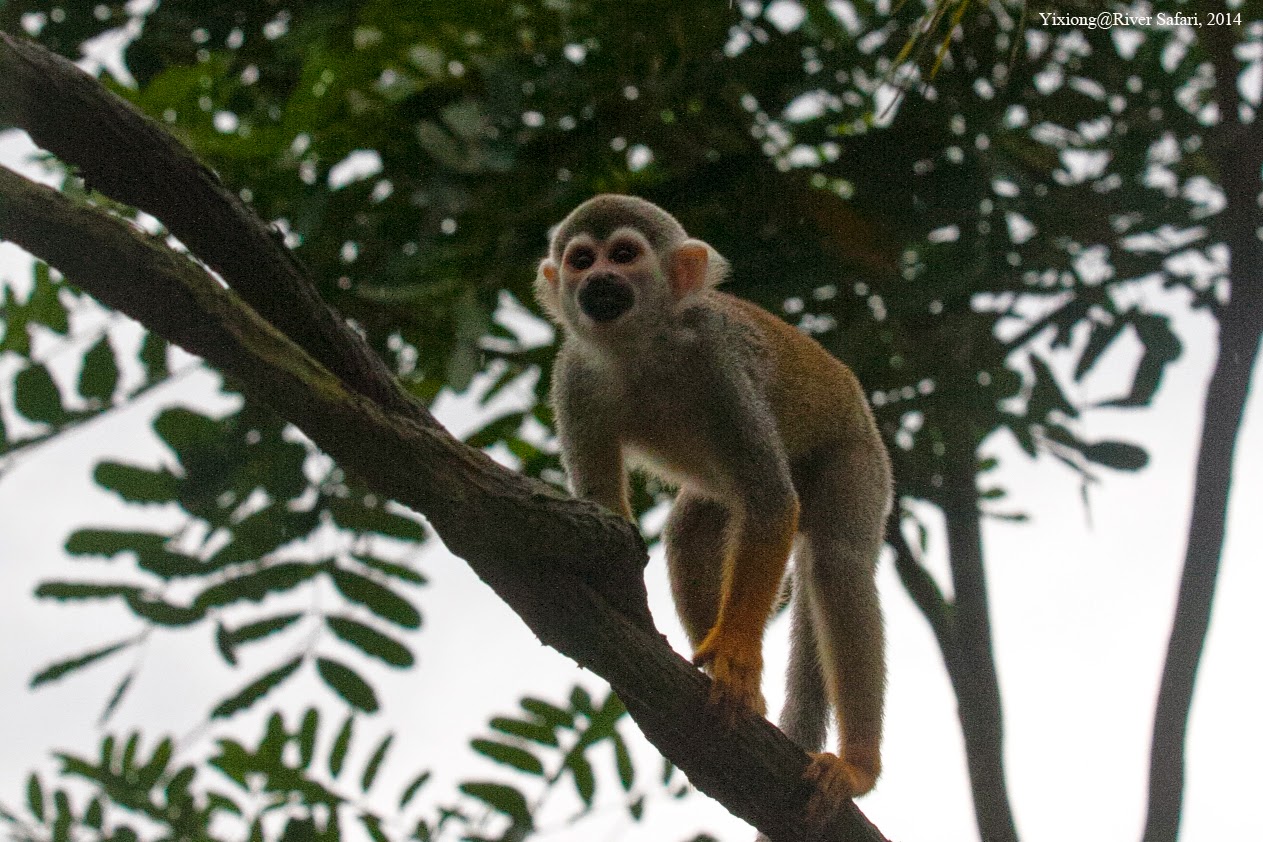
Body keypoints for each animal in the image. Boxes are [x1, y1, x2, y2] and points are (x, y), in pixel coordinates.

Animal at [535, 195, 893, 816]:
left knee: (837, 562)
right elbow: (609, 517)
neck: (640, 349)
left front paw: (734, 657)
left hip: (858, 460)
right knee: (691, 528)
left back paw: (857, 766)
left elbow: (771, 503)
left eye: (623, 255)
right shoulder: (573, 378)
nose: (599, 280)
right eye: (581, 260)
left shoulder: (716, 363)